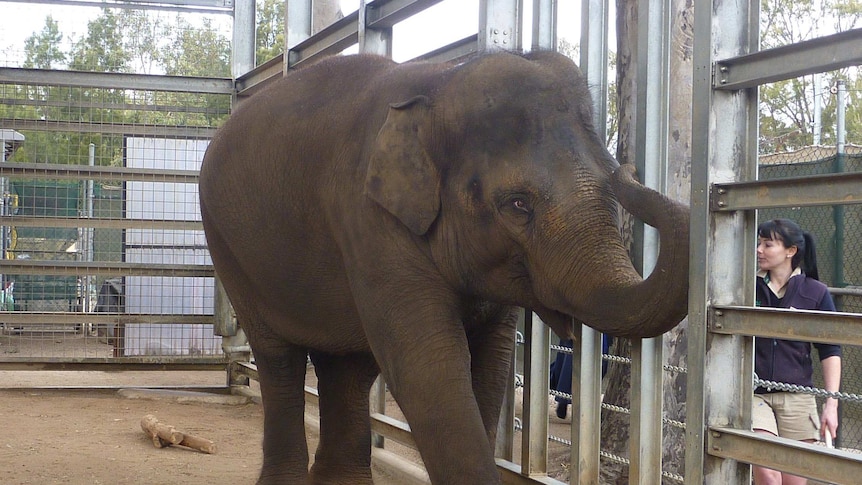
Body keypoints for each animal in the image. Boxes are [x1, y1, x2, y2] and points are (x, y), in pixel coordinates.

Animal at [199, 50, 692, 484]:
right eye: (518, 205)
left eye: (610, 187)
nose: (628, 172)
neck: (440, 83)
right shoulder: (369, 222)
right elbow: (428, 367)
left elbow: (491, 365)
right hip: (229, 248)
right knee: (279, 360)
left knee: (349, 368)